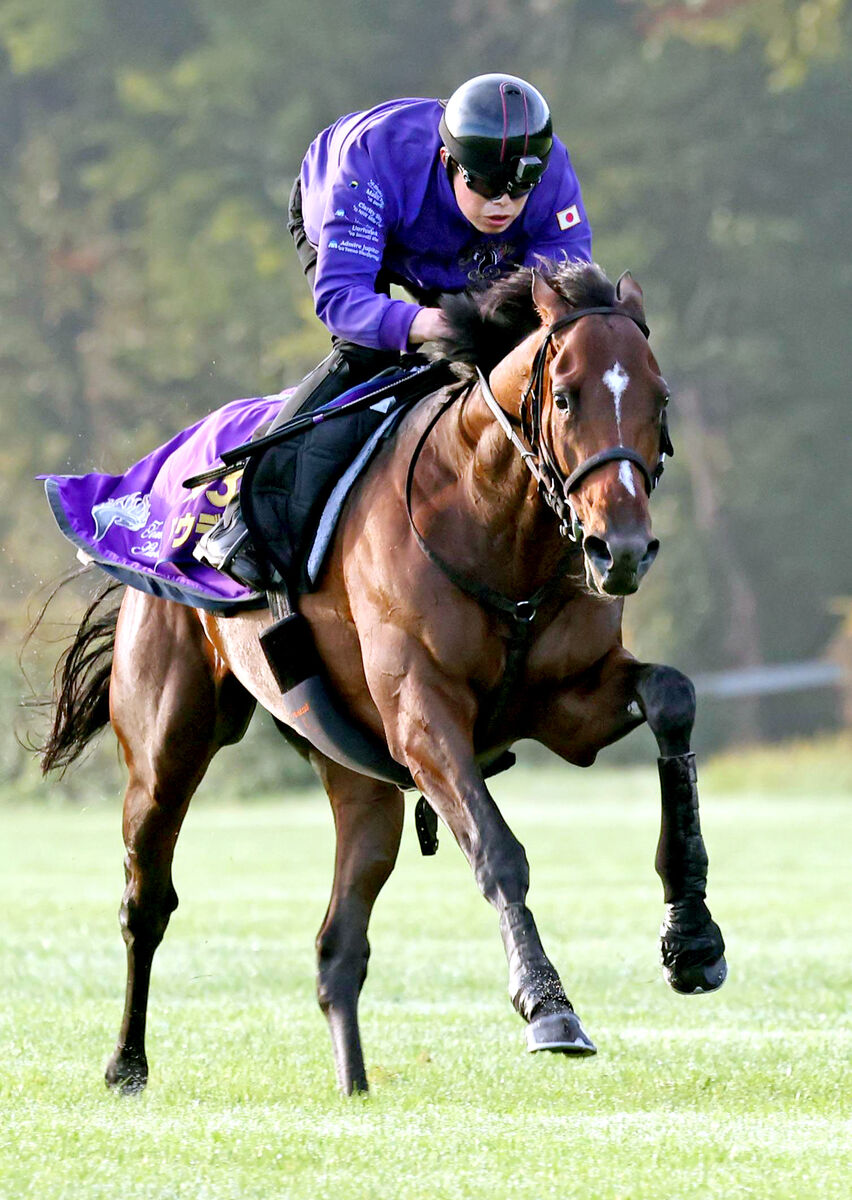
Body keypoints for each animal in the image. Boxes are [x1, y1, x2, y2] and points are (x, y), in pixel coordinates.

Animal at [36, 261, 726, 1096]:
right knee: (147, 901)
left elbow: (672, 695)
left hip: (360, 783)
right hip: (165, 749)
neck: (494, 528)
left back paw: (354, 1085)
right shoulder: (422, 718)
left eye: (659, 398)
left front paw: (692, 935)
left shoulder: (570, 702)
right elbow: (498, 850)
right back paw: (127, 1063)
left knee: (337, 946)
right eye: (564, 396)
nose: (619, 549)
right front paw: (548, 1006)